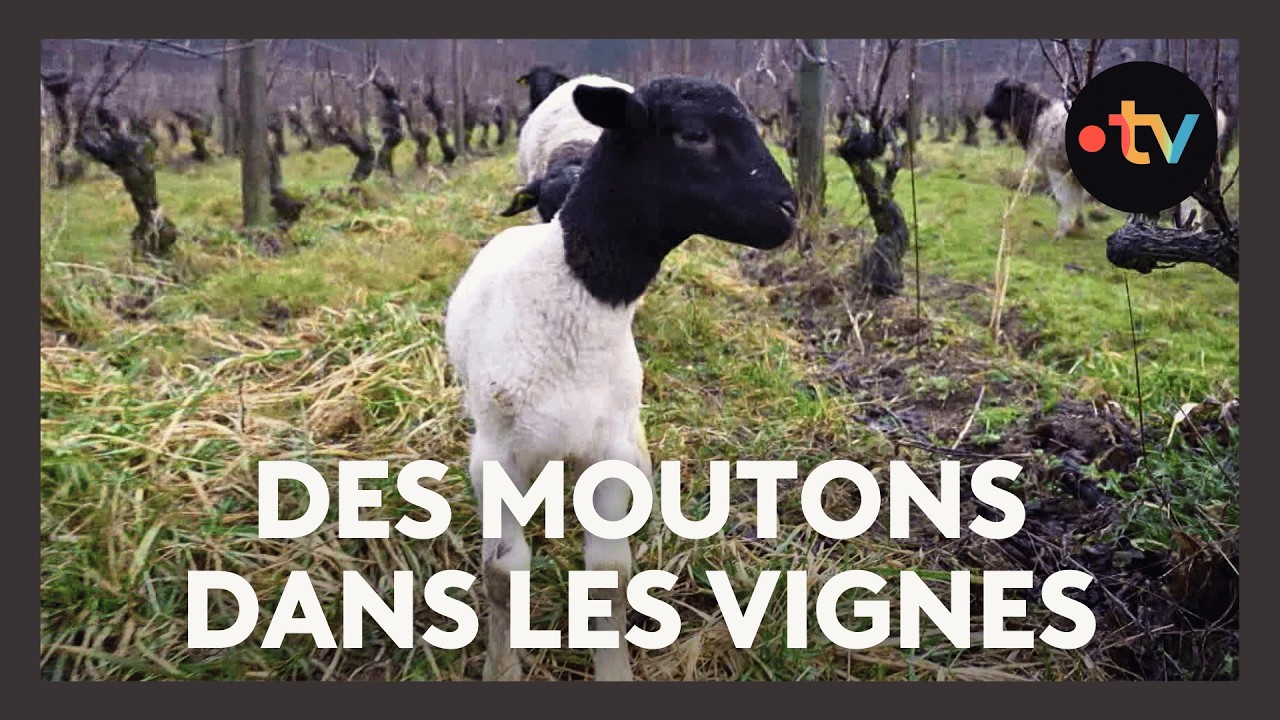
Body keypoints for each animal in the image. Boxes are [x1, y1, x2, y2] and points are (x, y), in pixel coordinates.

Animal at [444, 76, 798, 681]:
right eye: (694, 135)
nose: (789, 209)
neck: (570, 294)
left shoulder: (607, 450)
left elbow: (609, 575)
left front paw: (613, 669)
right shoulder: (495, 457)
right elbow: (502, 575)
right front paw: (502, 668)